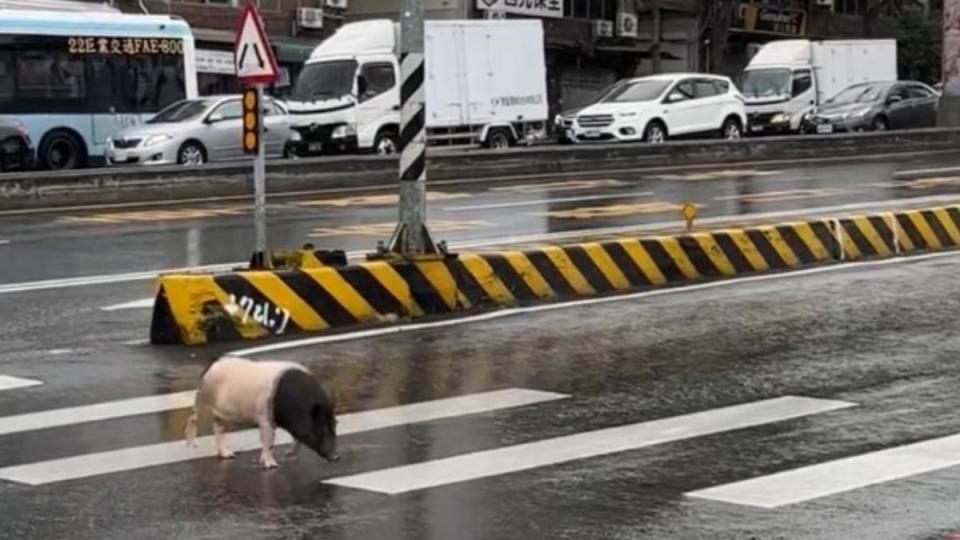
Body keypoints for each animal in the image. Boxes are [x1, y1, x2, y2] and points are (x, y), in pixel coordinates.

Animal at [186, 354, 340, 468]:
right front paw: (272, 466)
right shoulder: (265, 419)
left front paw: (288, 454)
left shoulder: (293, 426)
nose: (336, 457)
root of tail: (212, 364)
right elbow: (269, 442)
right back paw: (192, 445)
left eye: (335, 425)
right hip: (202, 402)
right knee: (192, 420)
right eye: (321, 426)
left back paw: (229, 454)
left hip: (222, 416)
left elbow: (296, 439)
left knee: (219, 429)